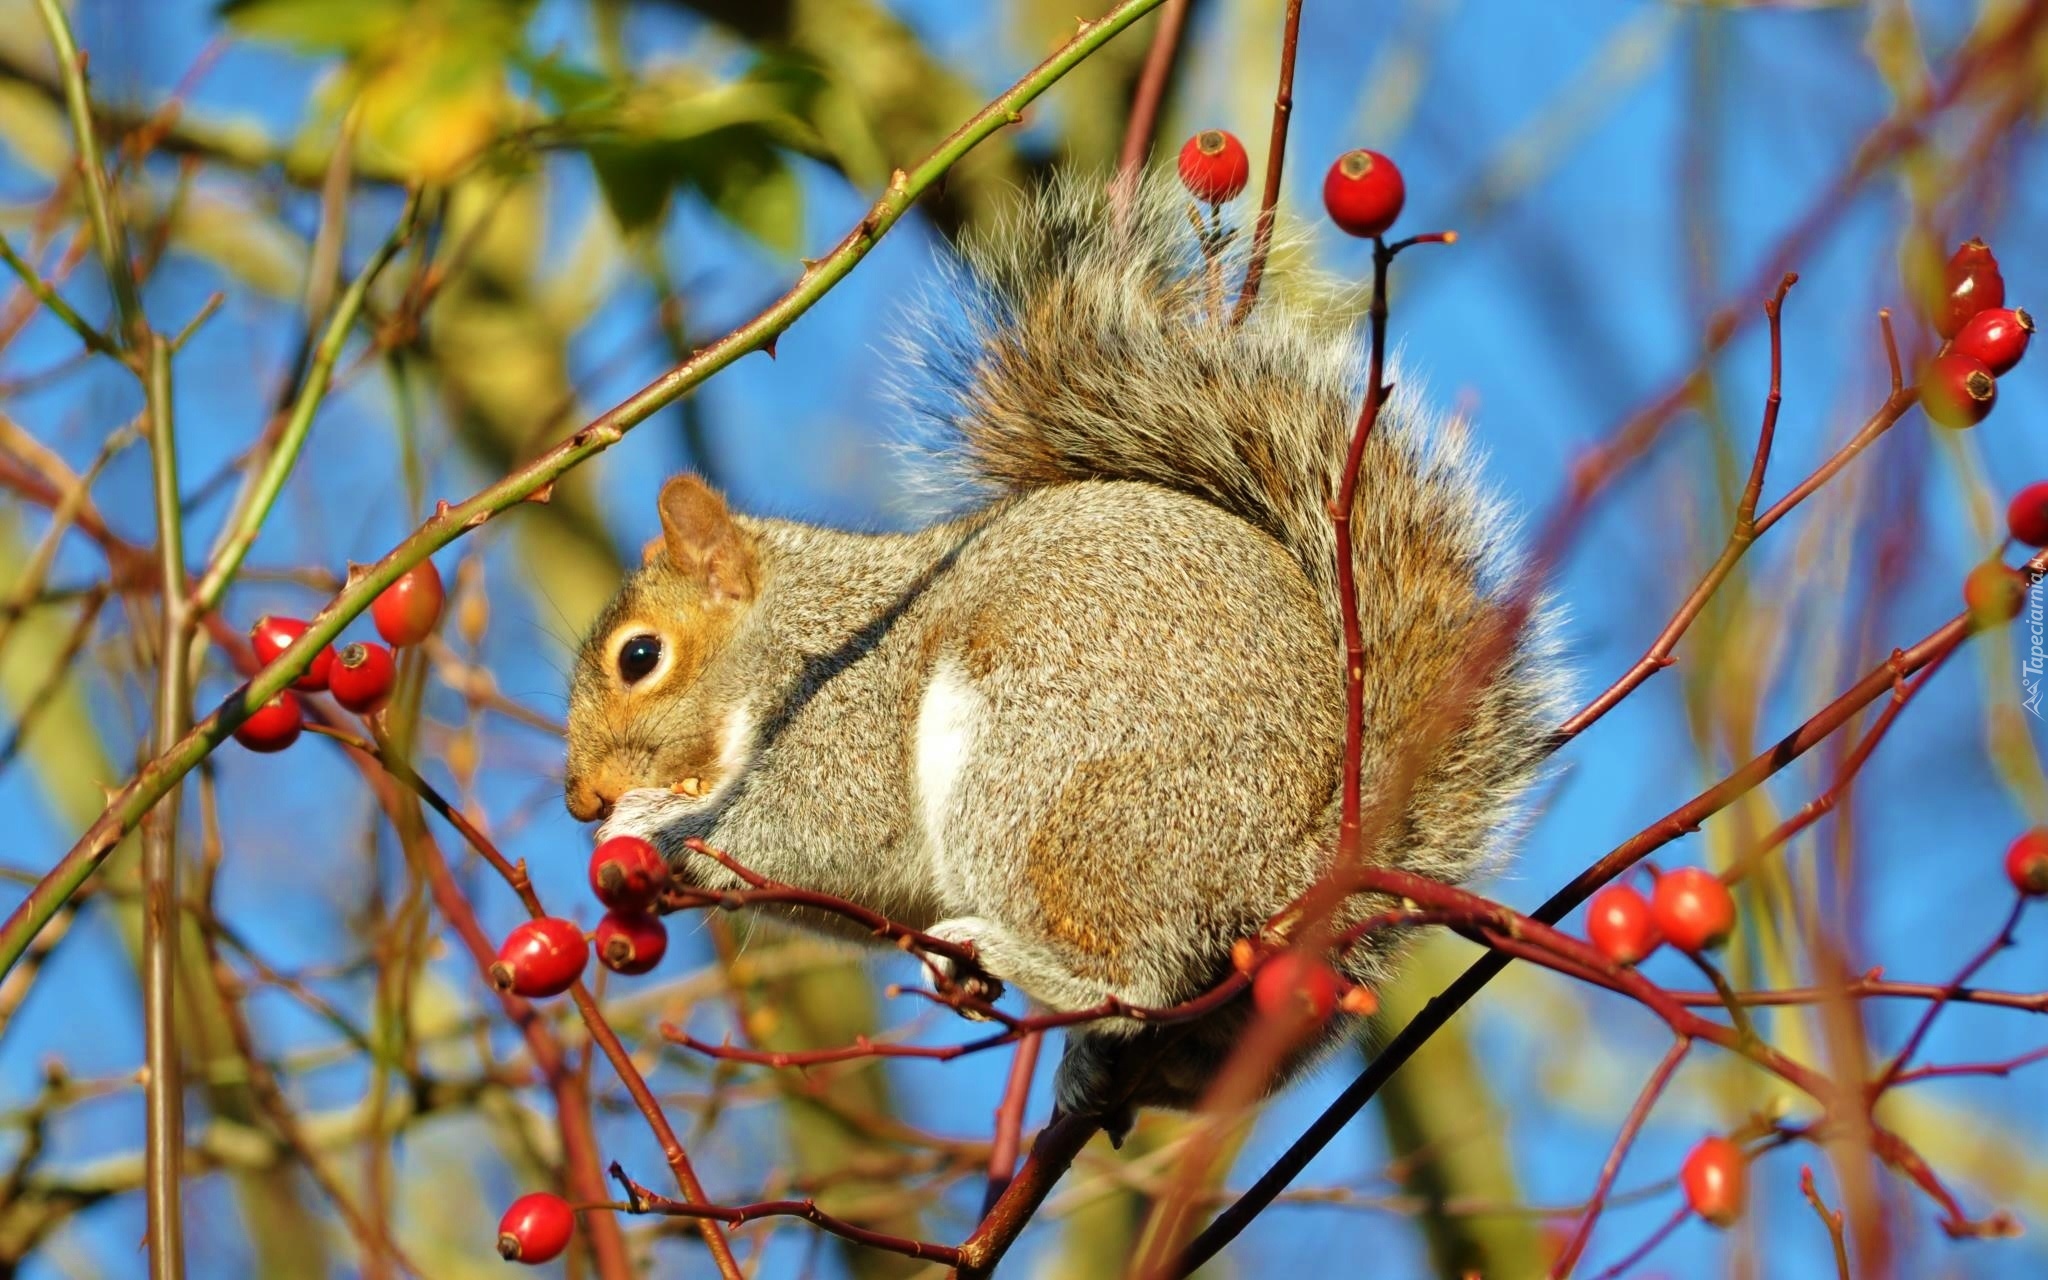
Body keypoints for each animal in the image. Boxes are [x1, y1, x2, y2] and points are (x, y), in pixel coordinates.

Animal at [569, 169, 1556, 1138]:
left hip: (1042, 777)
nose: (584, 801)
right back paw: (1086, 1063)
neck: (799, 633)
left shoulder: (853, 706)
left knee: (1133, 975)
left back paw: (1022, 959)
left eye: (640, 656)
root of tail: (1302, 865)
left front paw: (655, 823)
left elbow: (824, 826)